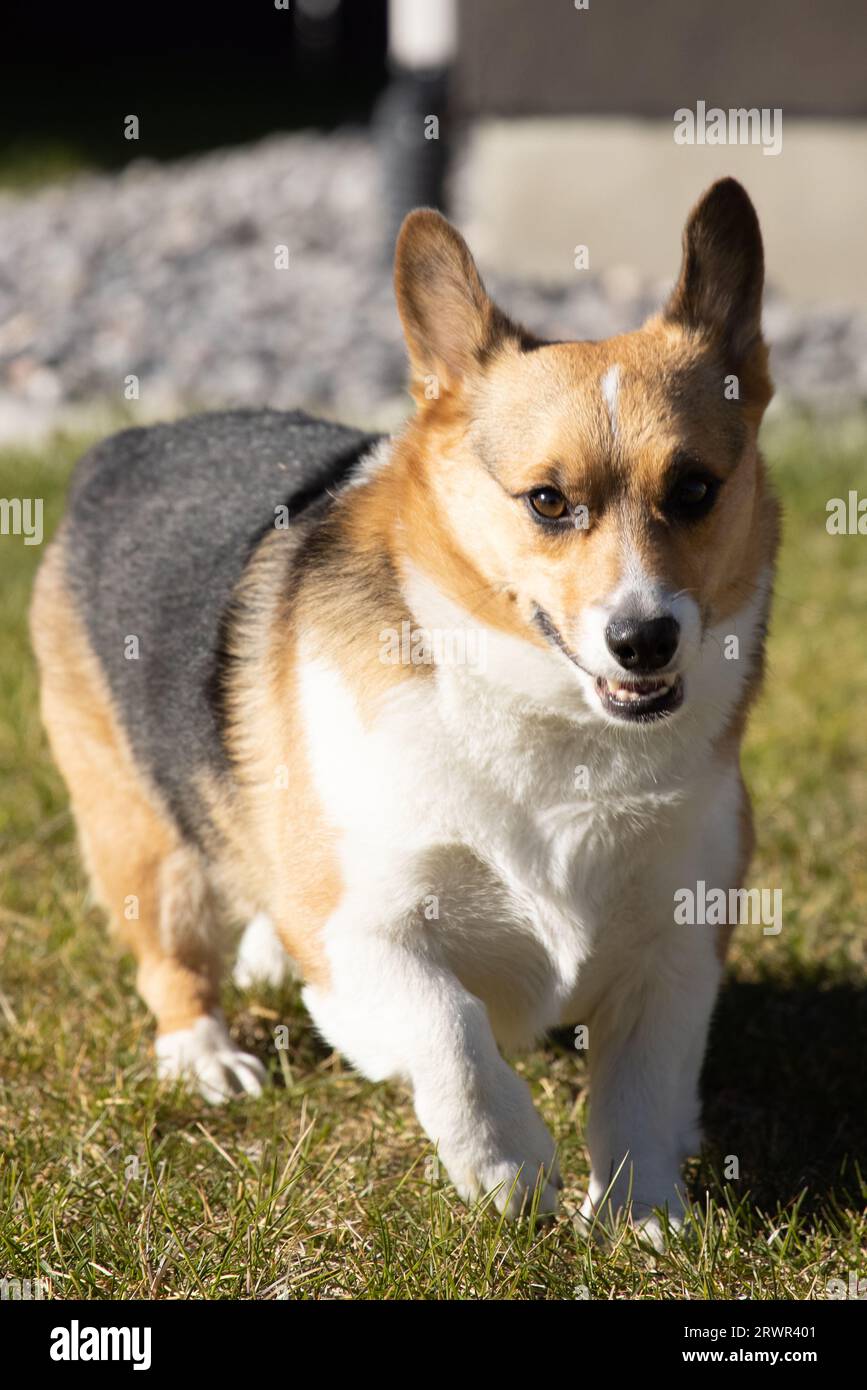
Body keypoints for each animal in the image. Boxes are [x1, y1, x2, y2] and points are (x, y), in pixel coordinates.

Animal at [33, 182, 778, 1239]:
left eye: (696, 490)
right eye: (547, 502)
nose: (645, 639)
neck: (555, 728)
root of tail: (123, 444)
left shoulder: (677, 945)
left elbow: (640, 1083)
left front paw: (642, 1216)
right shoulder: (365, 931)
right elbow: (449, 1029)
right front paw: (508, 1166)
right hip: (137, 829)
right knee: (173, 953)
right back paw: (205, 1056)